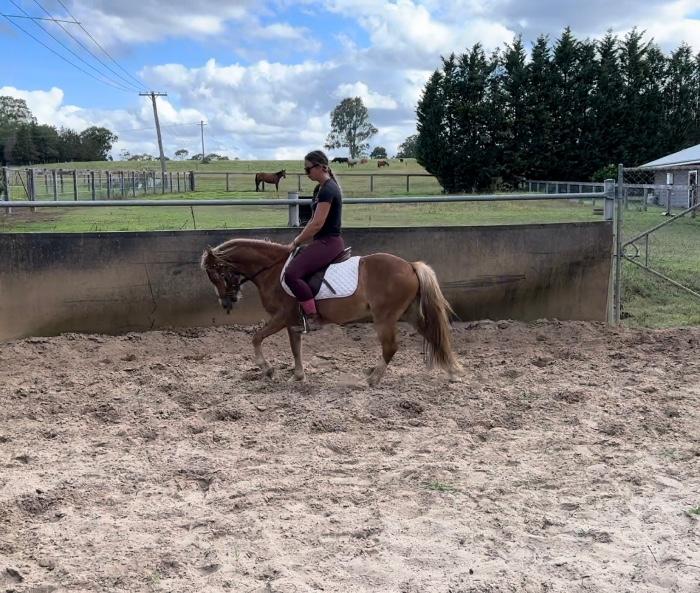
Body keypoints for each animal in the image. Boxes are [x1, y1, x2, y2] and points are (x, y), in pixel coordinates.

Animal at [201, 239, 461, 386]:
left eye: (215, 274)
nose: (227, 302)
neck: (272, 270)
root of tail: (410, 266)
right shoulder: (292, 321)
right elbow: (295, 348)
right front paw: (298, 376)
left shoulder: (281, 317)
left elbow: (256, 338)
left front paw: (268, 369)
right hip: (410, 314)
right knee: (434, 336)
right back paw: (452, 373)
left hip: (385, 318)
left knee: (390, 347)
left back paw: (372, 379)